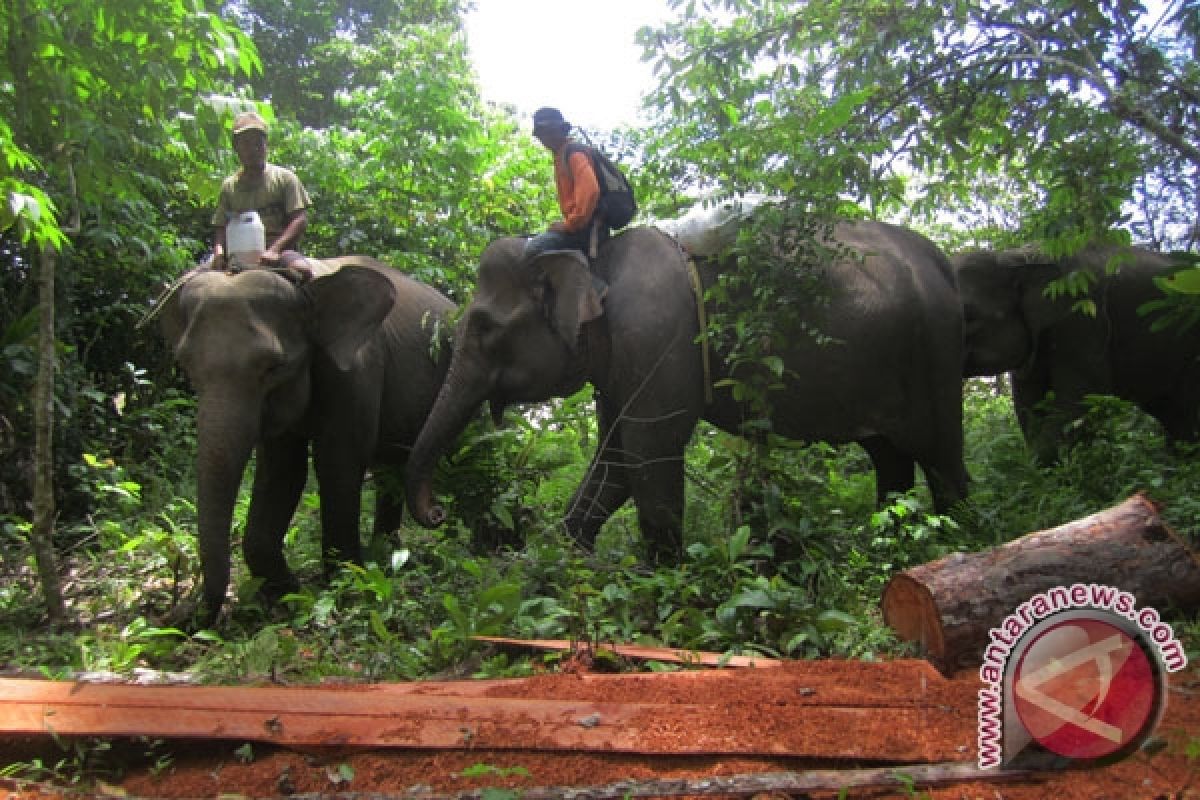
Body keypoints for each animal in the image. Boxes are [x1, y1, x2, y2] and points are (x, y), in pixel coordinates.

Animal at [158, 255, 453, 618]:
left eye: (273, 367)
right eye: (185, 365)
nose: (186, 616)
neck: (306, 289)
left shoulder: (357, 373)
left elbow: (338, 464)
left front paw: (346, 585)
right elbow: (282, 472)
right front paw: (288, 593)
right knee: (389, 469)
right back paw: (387, 554)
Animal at [408, 225, 969, 563]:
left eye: (483, 326)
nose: (436, 515)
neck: (591, 260)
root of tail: (943, 263)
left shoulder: (657, 331)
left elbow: (648, 446)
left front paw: (661, 583)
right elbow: (614, 456)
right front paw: (562, 564)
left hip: (936, 355)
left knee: (943, 458)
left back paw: (957, 546)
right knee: (890, 456)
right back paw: (890, 547)